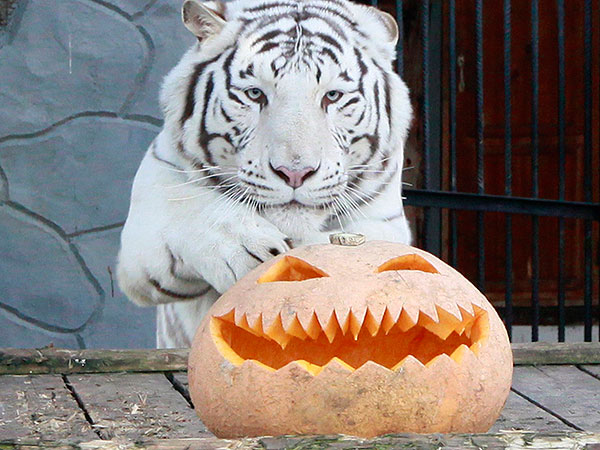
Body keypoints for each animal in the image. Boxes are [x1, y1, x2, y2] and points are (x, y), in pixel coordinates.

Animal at [119, 0, 414, 348]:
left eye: (332, 96)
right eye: (255, 94)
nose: (295, 173)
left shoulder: (387, 222)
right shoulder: (149, 215)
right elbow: (193, 211)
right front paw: (249, 250)